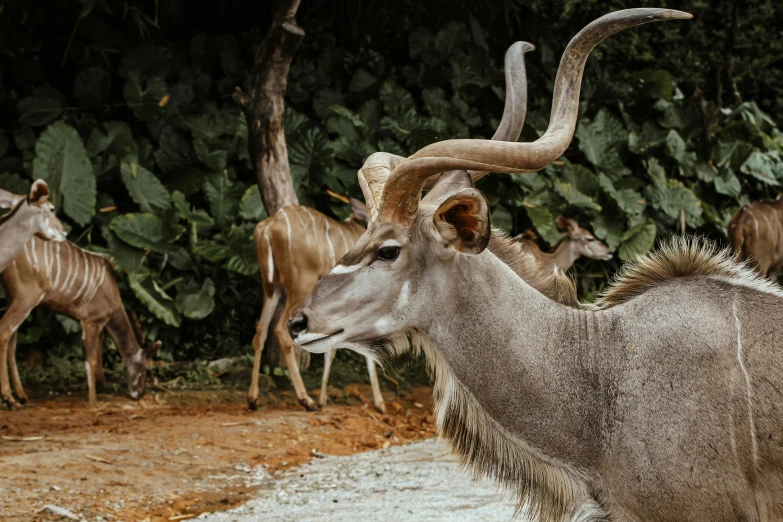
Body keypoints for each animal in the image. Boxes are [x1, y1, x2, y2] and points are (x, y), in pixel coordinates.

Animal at [0, 235, 161, 406]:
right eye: (145, 368)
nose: (140, 393)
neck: (113, 297)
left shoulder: (97, 325)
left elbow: (98, 352)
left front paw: (101, 385)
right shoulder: (90, 321)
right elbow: (91, 361)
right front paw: (93, 402)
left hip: (11, 297)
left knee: (12, 340)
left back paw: (21, 395)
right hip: (26, 298)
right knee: (5, 331)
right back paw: (9, 398)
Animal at [248, 37, 536, 410]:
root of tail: (268, 226)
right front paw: (370, 401)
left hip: (274, 288)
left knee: (260, 331)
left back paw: (256, 398)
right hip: (295, 287)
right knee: (281, 333)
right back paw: (305, 399)